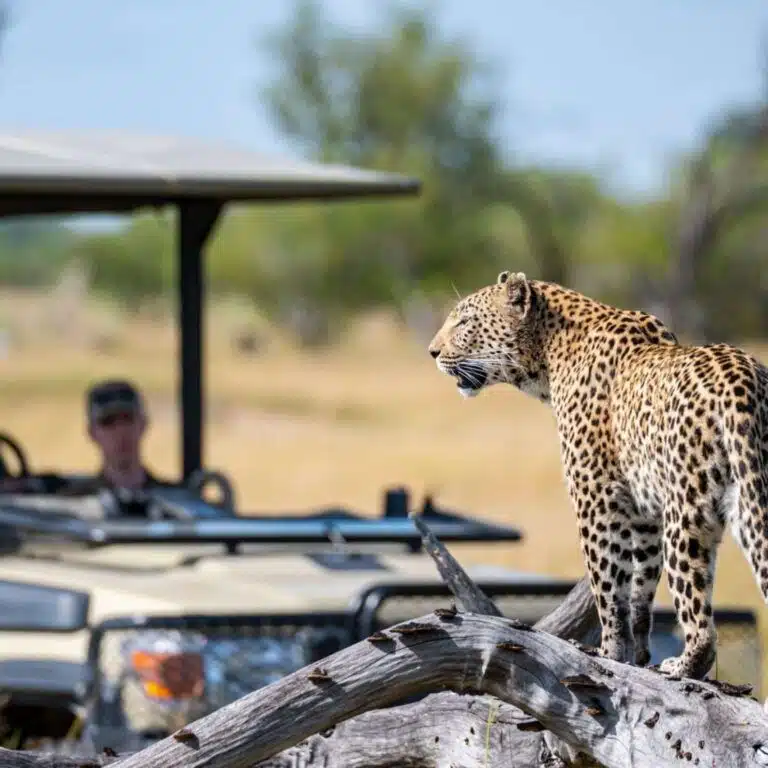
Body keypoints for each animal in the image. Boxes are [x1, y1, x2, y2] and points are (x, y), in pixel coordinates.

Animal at [426, 270, 768, 680]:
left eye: (464, 321)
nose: (432, 352)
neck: (549, 351)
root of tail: (743, 379)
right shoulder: (645, 514)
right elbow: (639, 590)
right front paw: (638, 656)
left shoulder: (595, 495)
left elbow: (608, 583)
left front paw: (609, 653)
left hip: (689, 512)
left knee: (699, 619)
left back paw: (683, 665)